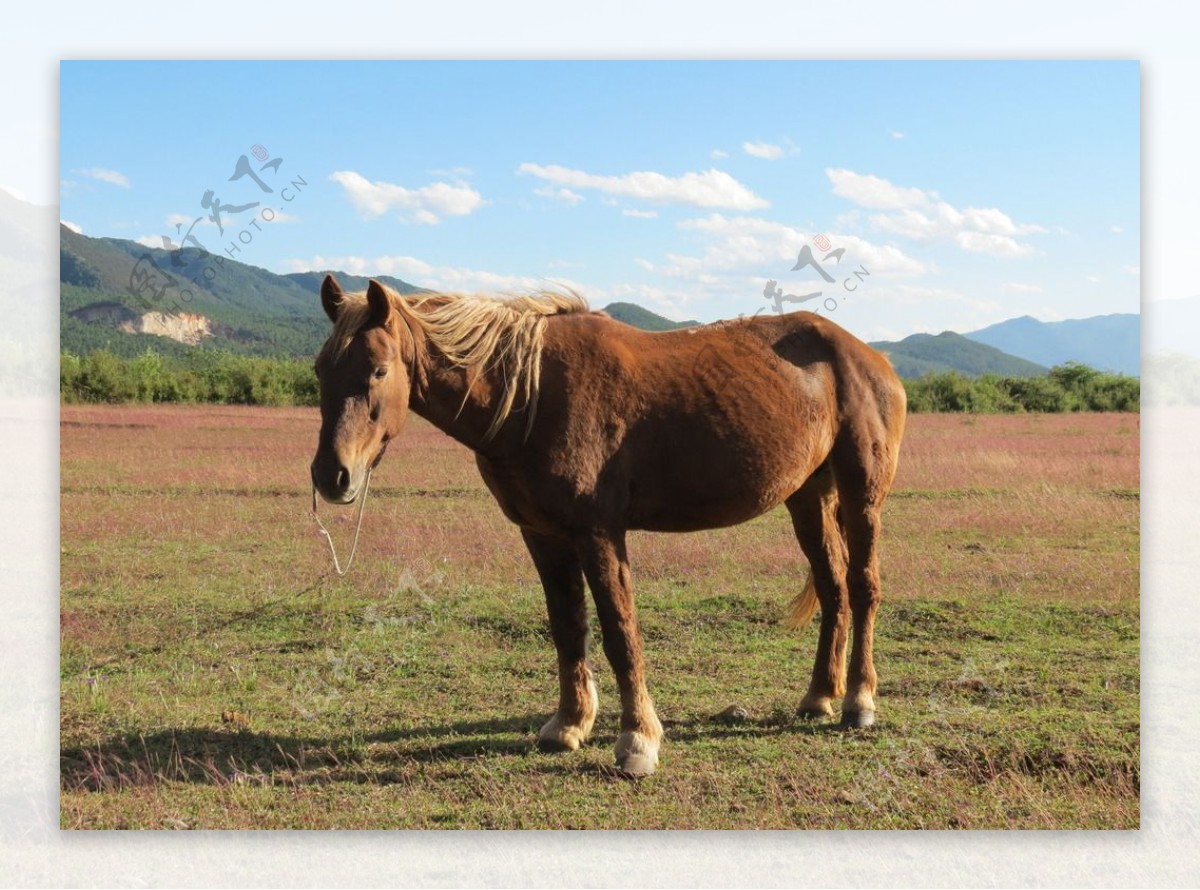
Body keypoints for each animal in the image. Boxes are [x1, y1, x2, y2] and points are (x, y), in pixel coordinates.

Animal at [314, 277, 902, 782]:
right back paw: (819, 697)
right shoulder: (543, 535)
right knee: (833, 590)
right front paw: (569, 724)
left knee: (863, 589)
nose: (331, 475)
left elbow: (621, 632)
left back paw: (858, 702)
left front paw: (638, 741)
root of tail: (871, 357)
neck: (531, 398)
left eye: (377, 371)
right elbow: (567, 627)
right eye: (321, 370)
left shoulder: (598, 534)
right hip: (807, 499)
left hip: (861, 498)